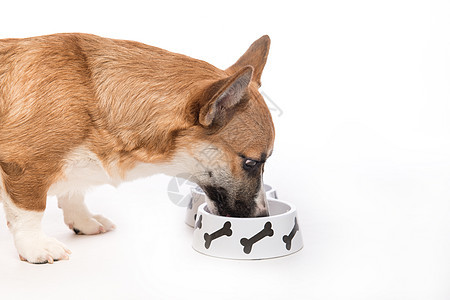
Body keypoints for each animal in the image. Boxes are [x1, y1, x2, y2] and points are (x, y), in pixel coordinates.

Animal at [0, 33, 276, 262]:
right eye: (251, 162)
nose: (264, 217)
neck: (94, 99)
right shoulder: (25, 168)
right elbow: (30, 212)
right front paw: (35, 247)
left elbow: (74, 192)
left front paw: (83, 221)